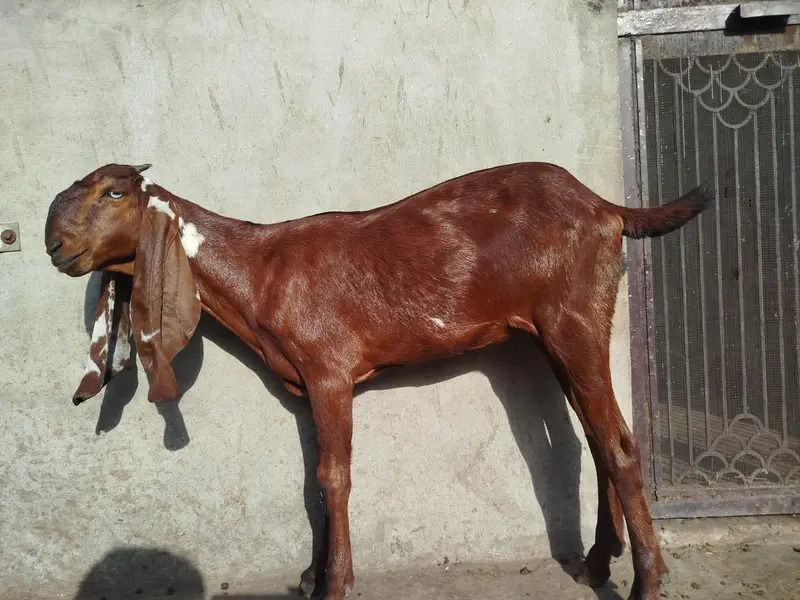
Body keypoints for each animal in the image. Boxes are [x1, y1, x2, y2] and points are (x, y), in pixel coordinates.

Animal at [45, 162, 713, 600]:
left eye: (113, 190)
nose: (54, 243)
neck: (261, 270)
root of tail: (606, 208)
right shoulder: (305, 388)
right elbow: (313, 481)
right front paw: (311, 575)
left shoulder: (329, 371)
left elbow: (333, 478)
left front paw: (336, 582)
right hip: (556, 332)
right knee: (598, 439)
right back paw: (599, 562)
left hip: (574, 316)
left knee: (619, 444)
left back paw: (646, 581)